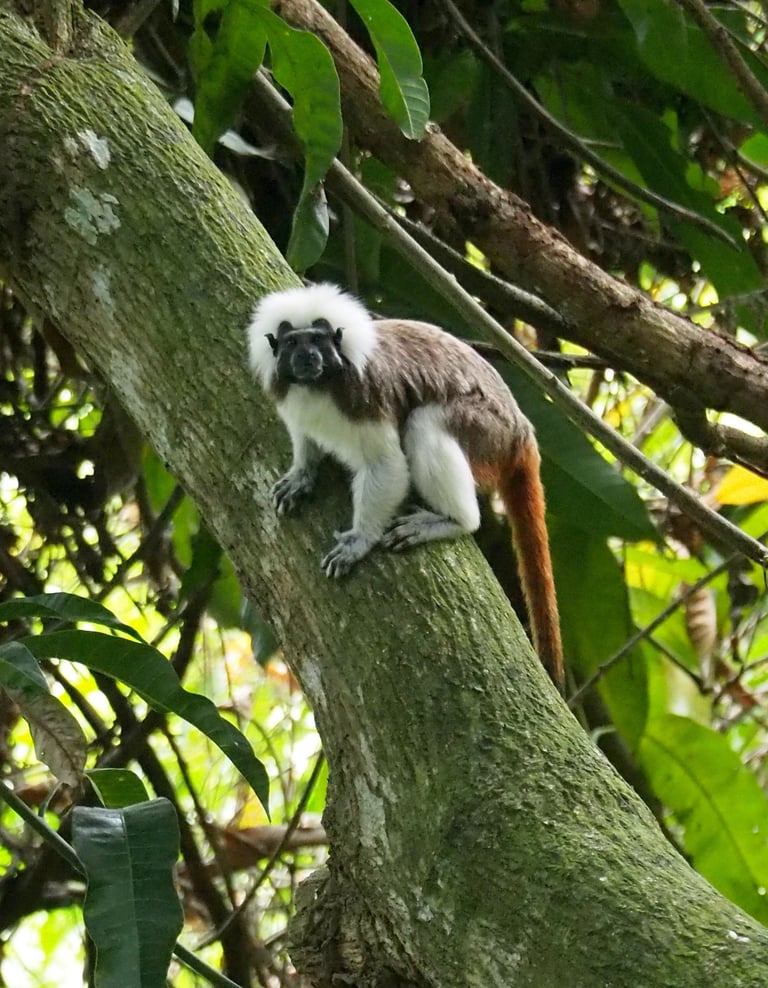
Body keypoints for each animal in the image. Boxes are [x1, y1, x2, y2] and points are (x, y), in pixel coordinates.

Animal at [247, 282, 563, 690]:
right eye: (292, 343)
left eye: (318, 340)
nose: (307, 357)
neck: (318, 386)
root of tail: (521, 431)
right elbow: (304, 435)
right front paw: (302, 474)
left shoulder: (365, 396)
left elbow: (389, 466)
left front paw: (359, 541)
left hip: (487, 431)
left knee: (425, 422)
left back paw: (453, 521)